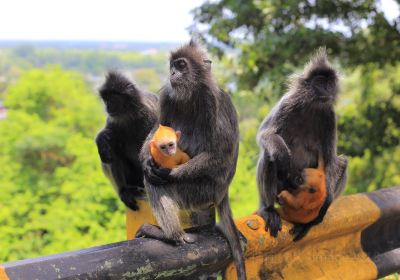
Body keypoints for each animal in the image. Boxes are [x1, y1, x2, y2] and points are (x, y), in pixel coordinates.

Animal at [96, 72, 159, 210]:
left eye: (113, 99)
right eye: (106, 99)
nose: (107, 106)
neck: (128, 115)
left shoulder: (150, 113)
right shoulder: (114, 120)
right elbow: (107, 136)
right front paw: (101, 140)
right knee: (112, 150)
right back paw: (124, 190)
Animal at [136, 40, 245, 278]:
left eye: (181, 65)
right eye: (172, 66)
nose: (173, 73)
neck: (191, 93)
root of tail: (222, 193)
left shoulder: (213, 100)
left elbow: (220, 153)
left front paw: (168, 172)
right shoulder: (168, 96)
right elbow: (156, 130)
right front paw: (146, 162)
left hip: (201, 192)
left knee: (157, 183)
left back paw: (172, 236)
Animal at [256, 48, 346, 241]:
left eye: (330, 83)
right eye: (319, 82)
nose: (326, 89)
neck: (313, 106)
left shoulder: (329, 115)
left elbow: (330, 159)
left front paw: (325, 205)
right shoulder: (288, 102)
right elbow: (266, 134)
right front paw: (283, 154)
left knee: (343, 161)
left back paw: (308, 222)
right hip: (281, 188)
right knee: (269, 154)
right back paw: (268, 210)